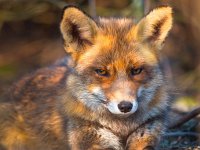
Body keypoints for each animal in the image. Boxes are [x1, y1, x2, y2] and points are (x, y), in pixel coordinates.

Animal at [0, 5, 172, 149]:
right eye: (101, 71)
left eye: (136, 70)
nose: (125, 106)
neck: (121, 128)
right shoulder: (91, 139)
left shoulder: (146, 134)